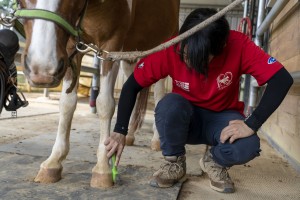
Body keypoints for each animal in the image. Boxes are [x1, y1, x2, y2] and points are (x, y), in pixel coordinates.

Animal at [17, 0, 180, 188]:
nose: (41, 70)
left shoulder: (111, 46)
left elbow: (105, 104)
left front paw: (103, 167)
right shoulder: (71, 46)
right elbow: (67, 104)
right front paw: (53, 162)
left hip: (163, 44)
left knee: (160, 93)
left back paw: (156, 140)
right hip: (130, 54)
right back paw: (130, 136)